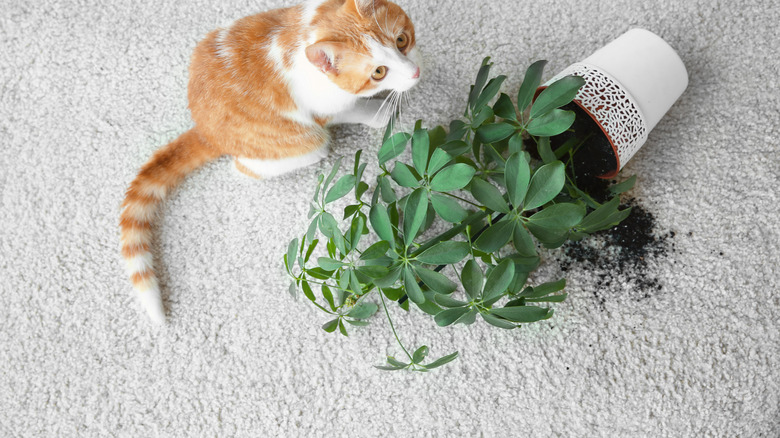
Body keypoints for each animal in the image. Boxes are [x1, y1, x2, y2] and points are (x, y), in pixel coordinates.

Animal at [119, 0, 420, 322]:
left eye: (401, 40)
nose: (414, 73)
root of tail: (205, 130)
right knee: (247, 167)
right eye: (379, 72)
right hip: (303, 144)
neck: (310, 30)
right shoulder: (324, 110)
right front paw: (378, 112)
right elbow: (352, 110)